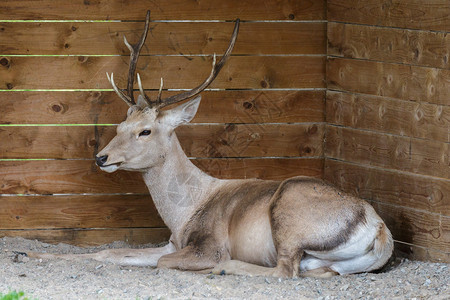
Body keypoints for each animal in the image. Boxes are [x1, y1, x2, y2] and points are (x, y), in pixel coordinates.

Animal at [24, 11, 392, 278]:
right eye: (120, 125)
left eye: (145, 131)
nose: (102, 157)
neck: (184, 212)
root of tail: (379, 232)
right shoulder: (172, 243)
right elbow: (109, 252)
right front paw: (27, 252)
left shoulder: (207, 243)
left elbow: (162, 263)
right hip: (324, 254)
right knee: (320, 270)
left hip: (290, 210)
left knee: (285, 270)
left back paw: (226, 268)